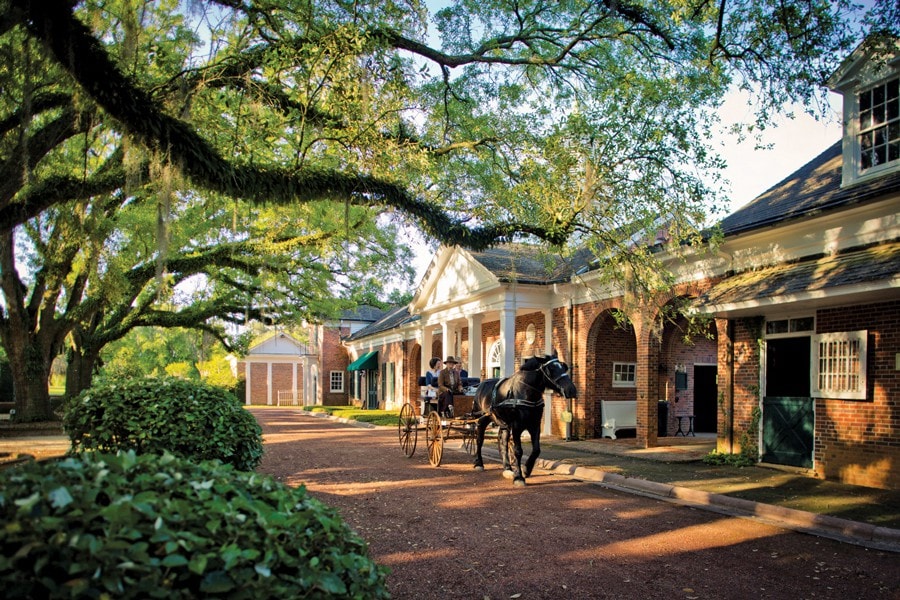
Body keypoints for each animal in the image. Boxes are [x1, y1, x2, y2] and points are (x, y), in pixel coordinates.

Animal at [472, 352, 576, 488]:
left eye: (564, 367)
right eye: (551, 369)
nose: (572, 390)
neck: (526, 392)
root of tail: (481, 384)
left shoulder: (535, 425)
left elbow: (536, 450)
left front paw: (526, 469)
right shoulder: (517, 426)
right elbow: (518, 451)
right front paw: (519, 477)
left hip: (504, 424)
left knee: (503, 443)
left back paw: (507, 468)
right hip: (481, 420)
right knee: (479, 440)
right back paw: (479, 463)